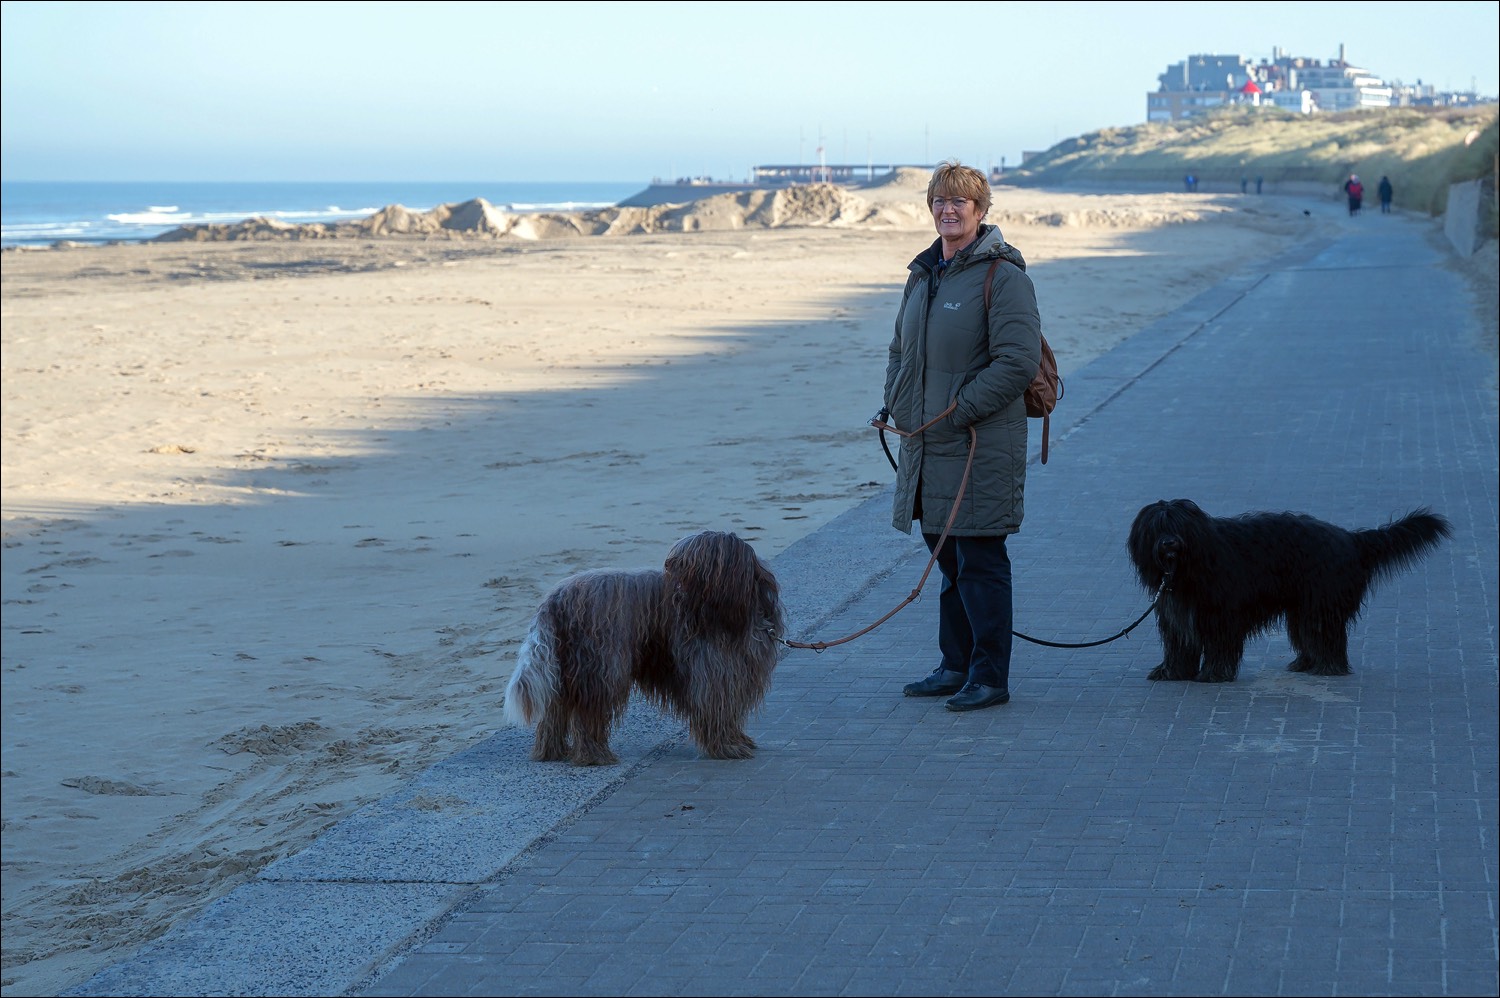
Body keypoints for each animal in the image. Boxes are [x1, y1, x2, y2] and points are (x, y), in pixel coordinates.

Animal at [504, 534, 786, 765]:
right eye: (680, 559)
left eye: (691, 561)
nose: (668, 567)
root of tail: (554, 599)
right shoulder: (712, 675)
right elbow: (717, 710)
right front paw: (726, 747)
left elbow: (728, 712)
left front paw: (737, 740)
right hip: (602, 669)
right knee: (587, 715)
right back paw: (595, 756)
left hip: (567, 671)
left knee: (555, 712)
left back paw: (551, 752)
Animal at [1128, 498, 1446, 684]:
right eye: (1156, 528)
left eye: (1179, 525)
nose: (1170, 543)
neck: (1189, 566)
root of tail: (1350, 539)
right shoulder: (1178, 615)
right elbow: (1180, 644)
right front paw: (1172, 671)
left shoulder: (1221, 615)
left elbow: (1220, 645)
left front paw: (1214, 674)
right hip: (1302, 606)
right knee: (1308, 634)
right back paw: (1306, 662)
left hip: (1321, 602)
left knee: (1325, 634)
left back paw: (1328, 666)